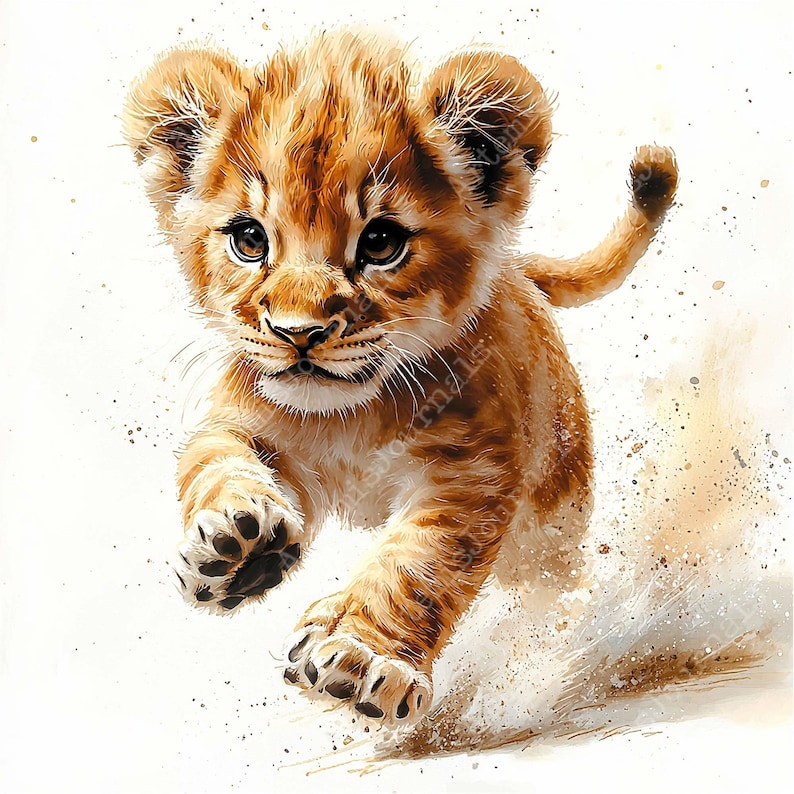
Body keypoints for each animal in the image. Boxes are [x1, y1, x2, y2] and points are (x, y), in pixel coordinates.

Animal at [123, 29, 677, 726]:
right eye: (249, 239)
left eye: (382, 242)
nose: (298, 333)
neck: (351, 416)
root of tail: (518, 269)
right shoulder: (240, 418)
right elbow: (214, 464)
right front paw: (240, 545)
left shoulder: (470, 474)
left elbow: (419, 568)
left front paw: (365, 661)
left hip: (552, 520)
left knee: (548, 585)